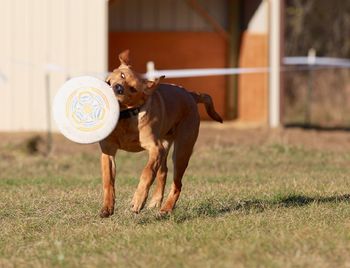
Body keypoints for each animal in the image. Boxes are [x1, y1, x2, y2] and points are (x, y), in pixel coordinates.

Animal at [98, 50, 223, 218]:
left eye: (133, 89)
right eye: (122, 75)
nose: (118, 88)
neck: (126, 116)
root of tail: (190, 94)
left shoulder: (155, 148)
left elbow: (147, 172)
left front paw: (138, 201)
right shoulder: (108, 150)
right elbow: (108, 180)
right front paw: (107, 207)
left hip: (182, 149)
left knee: (177, 183)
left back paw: (166, 208)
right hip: (166, 144)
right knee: (163, 172)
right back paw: (156, 201)